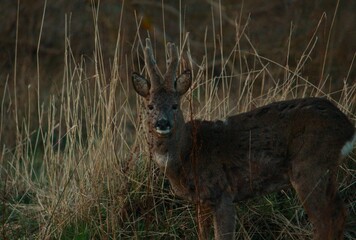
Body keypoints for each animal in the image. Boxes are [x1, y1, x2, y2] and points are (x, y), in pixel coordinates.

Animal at [132, 38, 356, 239]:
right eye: (150, 106)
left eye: (175, 105)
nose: (162, 123)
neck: (188, 153)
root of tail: (347, 128)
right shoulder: (201, 201)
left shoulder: (222, 192)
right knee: (339, 214)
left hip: (310, 166)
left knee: (326, 221)